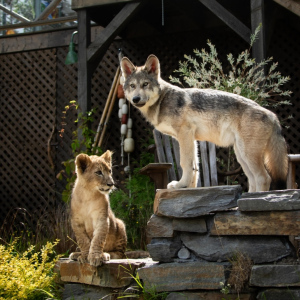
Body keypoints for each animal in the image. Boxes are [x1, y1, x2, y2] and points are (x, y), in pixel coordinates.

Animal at [119, 54, 288, 192]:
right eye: (132, 86)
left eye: (145, 84)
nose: (135, 99)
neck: (162, 100)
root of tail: (272, 115)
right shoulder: (191, 139)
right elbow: (195, 167)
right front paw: (190, 189)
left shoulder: (184, 134)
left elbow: (185, 163)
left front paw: (180, 185)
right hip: (242, 155)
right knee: (253, 179)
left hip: (248, 154)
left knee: (263, 178)